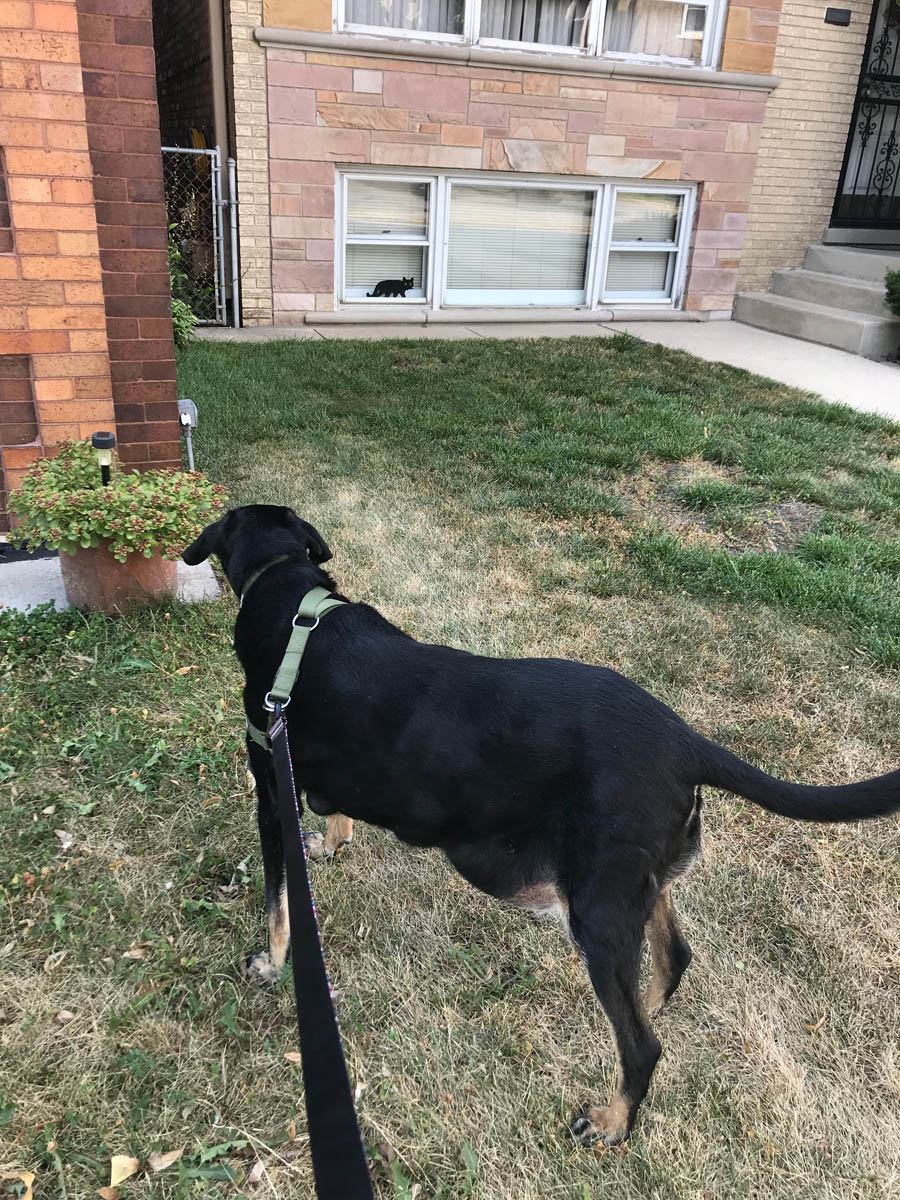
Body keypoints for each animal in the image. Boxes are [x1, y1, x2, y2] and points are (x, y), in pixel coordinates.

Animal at [183, 504, 900, 1142]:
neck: (295, 604)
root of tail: (685, 740)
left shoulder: (270, 789)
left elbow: (279, 904)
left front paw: (271, 965)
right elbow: (335, 818)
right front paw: (334, 845)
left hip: (597, 907)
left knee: (643, 1046)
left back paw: (613, 1123)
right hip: (635, 884)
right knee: (671, 962)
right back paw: (647, 1011)